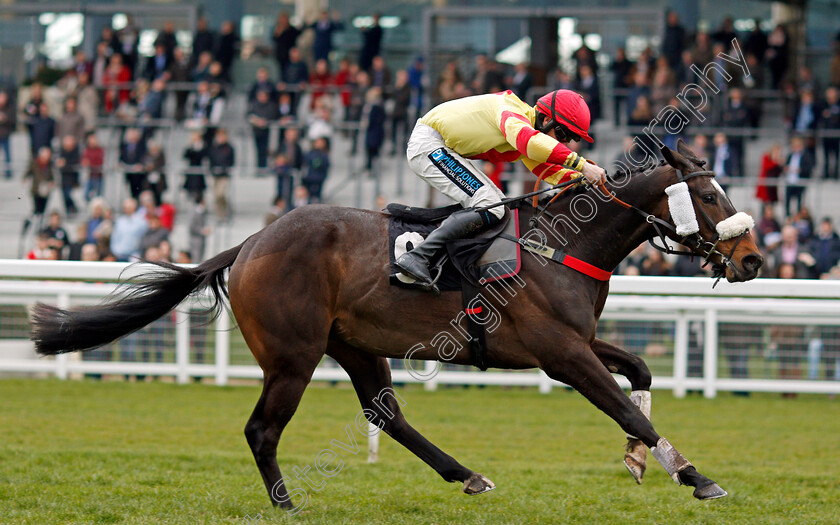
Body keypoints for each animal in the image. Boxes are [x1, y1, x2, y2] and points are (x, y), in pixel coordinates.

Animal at [31, 139, 760, 508]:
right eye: (710, 192)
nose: (753, 257)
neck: (560, 244)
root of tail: (249, 243)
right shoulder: (562, 355)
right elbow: (626, 405)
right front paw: (694, 475)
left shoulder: (576, 342)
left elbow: (639, 371)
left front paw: (642, 460)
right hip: (293, 356)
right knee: (262, 428)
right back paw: (286, 501)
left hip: (354, 344)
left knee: (385, 413)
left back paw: (466, 474)